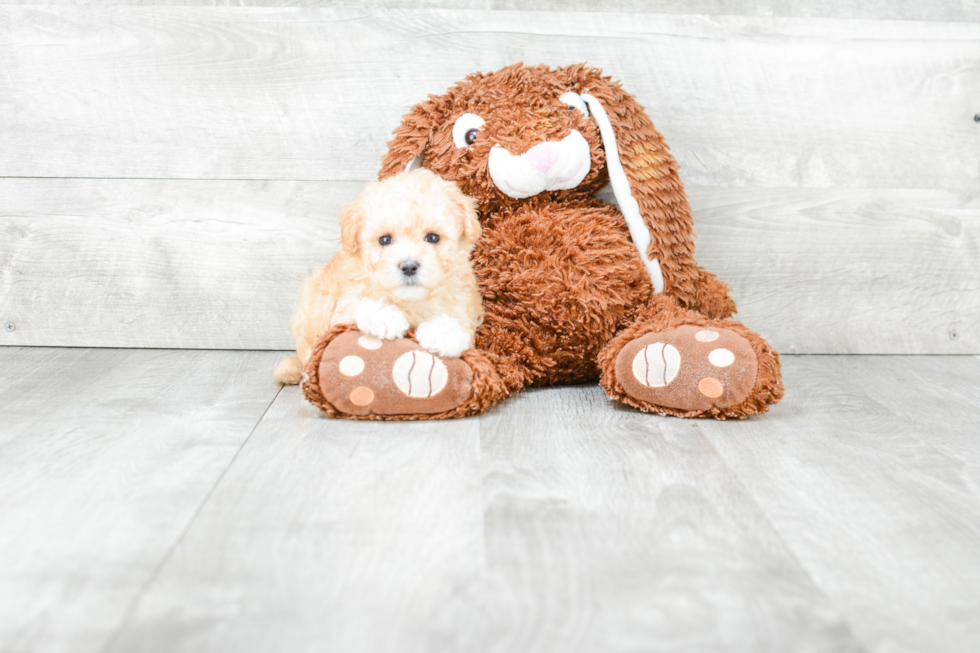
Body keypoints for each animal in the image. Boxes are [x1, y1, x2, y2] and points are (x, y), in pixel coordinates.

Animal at [274, 166, 484, 384]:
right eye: (384, 240)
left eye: (433, 238)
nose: (409, 266)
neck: (410, 301)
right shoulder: (341, 308)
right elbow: (358, 304)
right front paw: (383, 316)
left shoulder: (462, 297)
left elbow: (458, 318)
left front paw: (445, 332)